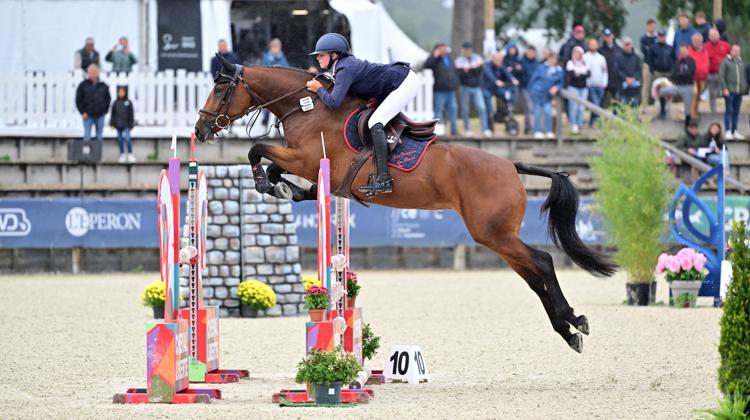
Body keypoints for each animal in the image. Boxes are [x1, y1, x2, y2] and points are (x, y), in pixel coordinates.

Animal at [197, 55, 620, 352]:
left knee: (544, 262)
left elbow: (257, 150)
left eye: (220, 90)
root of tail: (510, 164)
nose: (200, 130)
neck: (307, 105)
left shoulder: (305, 157)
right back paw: (568, 331)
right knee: (533, 276)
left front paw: (265, 182)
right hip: (496, 236)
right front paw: (283, 188)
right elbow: (276, 167)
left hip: (494, 233)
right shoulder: (306, 164)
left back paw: (573, 320)